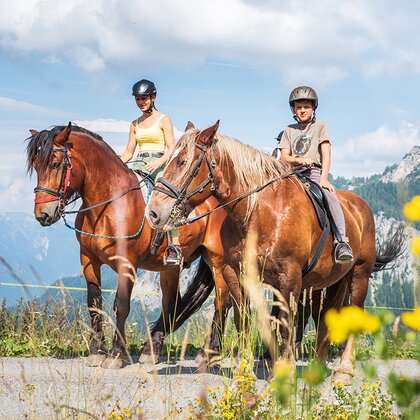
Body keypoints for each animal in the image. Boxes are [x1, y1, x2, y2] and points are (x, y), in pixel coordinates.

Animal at [25, 121, 233, 368]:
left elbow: (121, 305)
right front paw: (97, 351)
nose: (43, 214)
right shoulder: (88, 259)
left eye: (56, 164)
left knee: (222, 302)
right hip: (170, 268)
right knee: (172, 304)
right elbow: (94, 302)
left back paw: (210, 354)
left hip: (217, 261)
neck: (110, 204)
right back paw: (152, 349)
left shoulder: (127, 264)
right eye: (36, 166)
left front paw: (116, 354)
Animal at [147, 121, 404, 384]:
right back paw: (318, 365)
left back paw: (344, 370)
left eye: (182, 162)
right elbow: (244, 320)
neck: (258, 211)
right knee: (324, 316)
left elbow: (286, 324)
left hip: (359, 274)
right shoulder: (236, 275)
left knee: (352, 311)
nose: (154, 212)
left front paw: (285, 371)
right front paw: (244, 372)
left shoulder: (289, 277)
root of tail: (360, 206)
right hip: (329, 282)